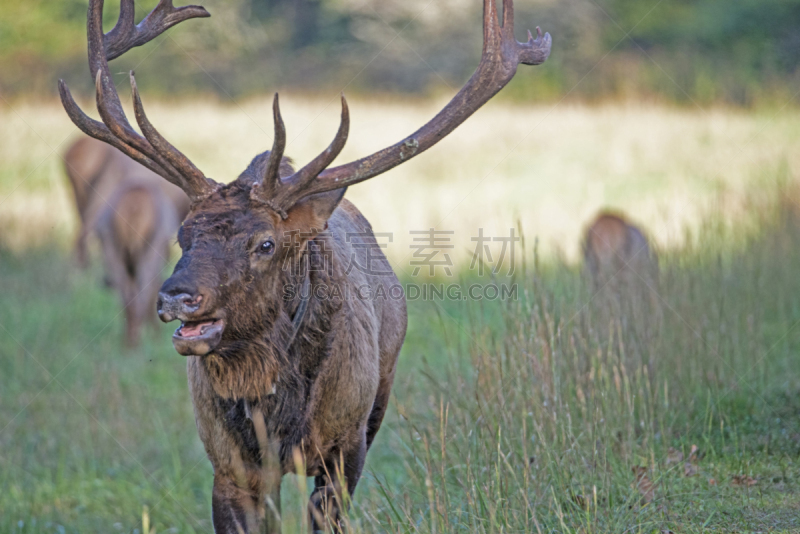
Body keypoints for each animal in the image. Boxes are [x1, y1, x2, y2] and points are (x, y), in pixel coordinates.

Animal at [61, 0, 552, 532]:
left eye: (266, 243)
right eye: (183, 234)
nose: (177, 296)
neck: (279, 412)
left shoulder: (346, 445)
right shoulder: (230, 464)